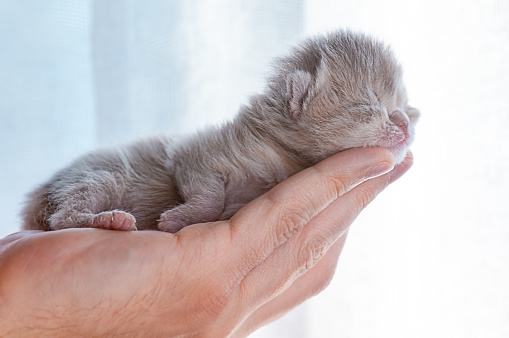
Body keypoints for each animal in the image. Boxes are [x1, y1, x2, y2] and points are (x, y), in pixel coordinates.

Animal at [20, 30, 416, 234]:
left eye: (406, 105)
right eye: (368, 105)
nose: (405, 124)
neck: (284, 151)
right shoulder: (196, 155)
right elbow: (207, 195)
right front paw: (179, 218)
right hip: (98, 177)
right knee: (62, 219)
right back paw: (106, 220)